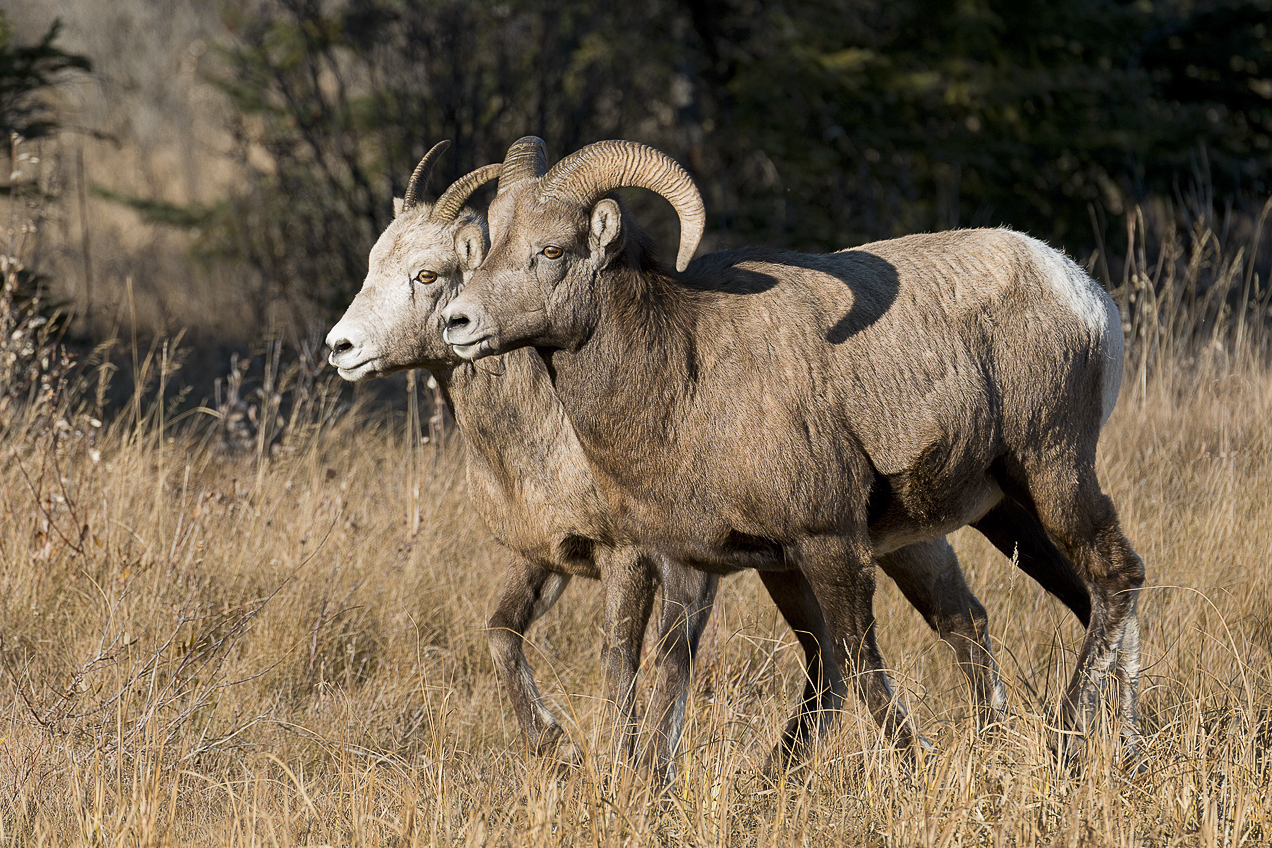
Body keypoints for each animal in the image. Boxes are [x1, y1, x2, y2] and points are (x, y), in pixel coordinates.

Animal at [440, 136, 1144, 767]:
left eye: (552, 249)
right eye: (489, 246)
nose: (458, 323)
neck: (686, 377)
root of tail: (1082, 294)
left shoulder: (830, 545)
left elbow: (859, 668)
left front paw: (915, 770)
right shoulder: (702, 564)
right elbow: (671, 682)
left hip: (1053, 469)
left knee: (1118, 574)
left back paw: (1068, 741)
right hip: (1005, 510)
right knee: (1085, 598)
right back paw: (1126, 747)